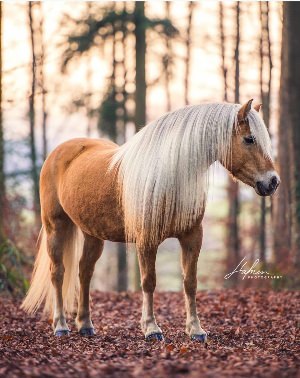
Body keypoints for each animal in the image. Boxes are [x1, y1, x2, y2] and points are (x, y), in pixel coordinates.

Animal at [22, 99, 280, 342]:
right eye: (249, 139)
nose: (273, 182)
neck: (170, 175)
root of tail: (60, 151)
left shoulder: (192, 237)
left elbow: (190, 282)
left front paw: (195, 330)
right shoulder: (147, 241)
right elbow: (149, 282)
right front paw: (151, 329)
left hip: (93, 234)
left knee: (84, 271)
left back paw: (85, 325)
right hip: (56, 227)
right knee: (58, 273)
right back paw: (61, 326)